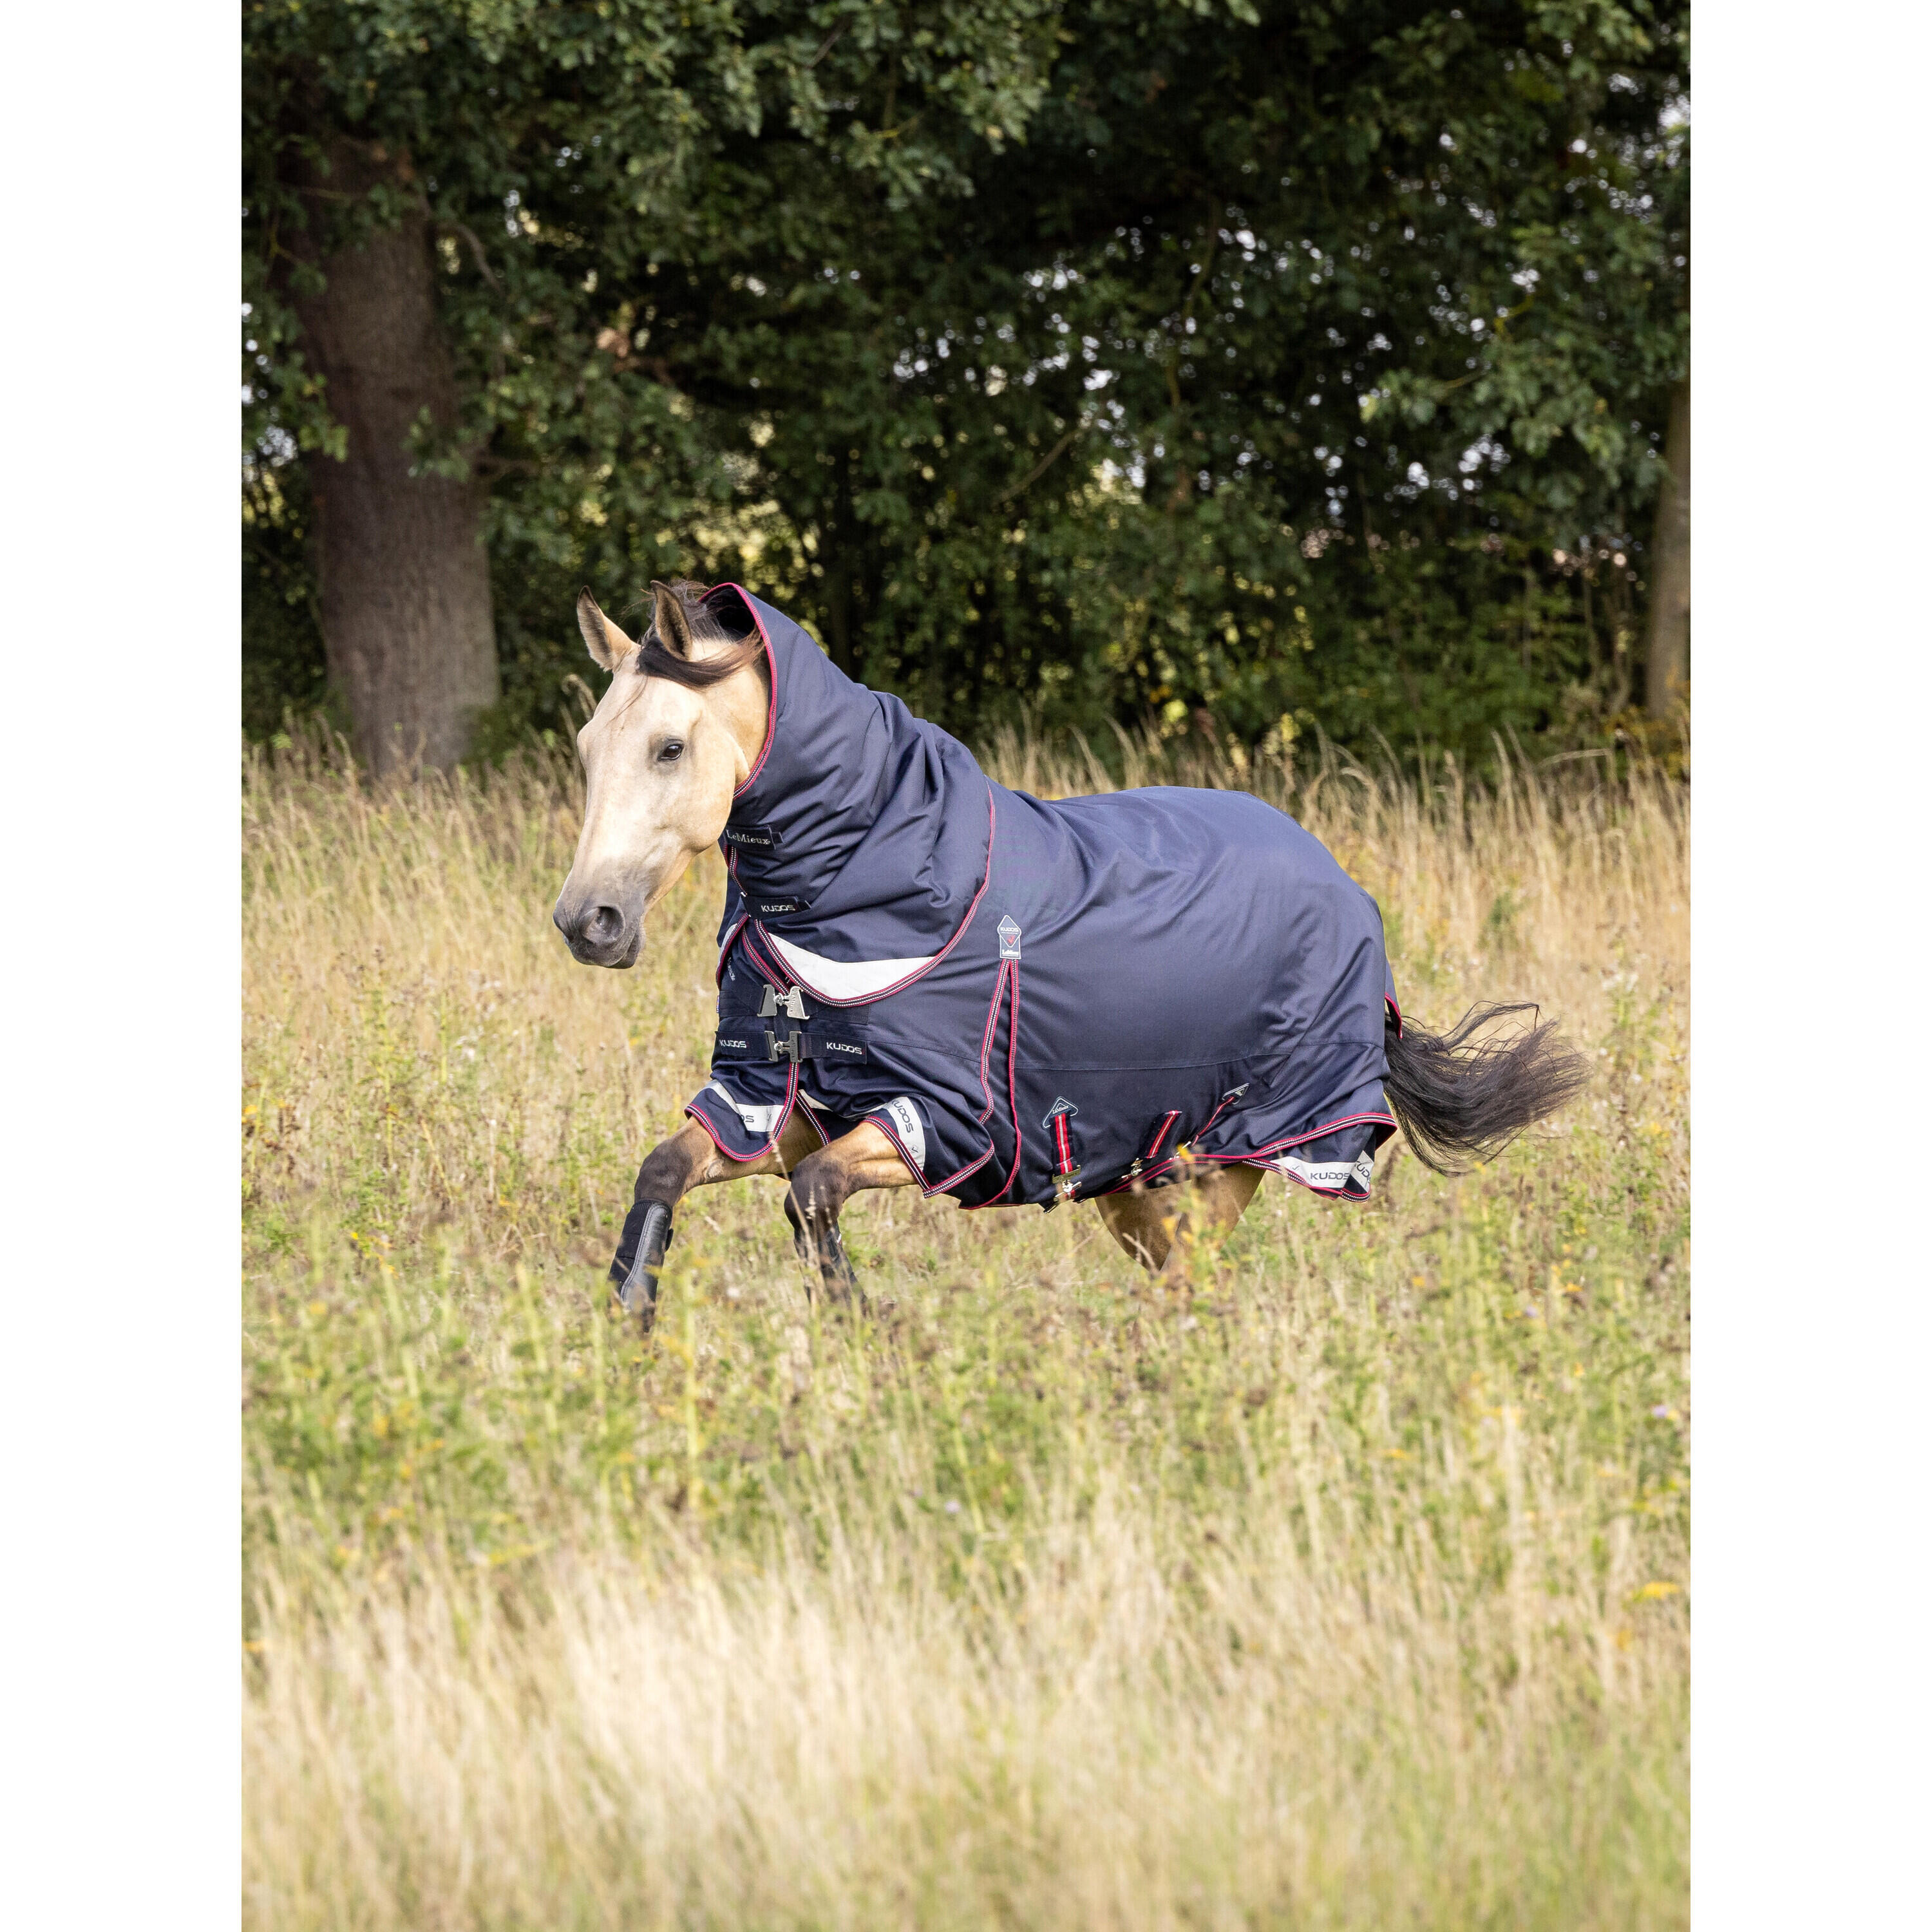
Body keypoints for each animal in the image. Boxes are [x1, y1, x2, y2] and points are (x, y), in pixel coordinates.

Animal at [555, 579, 1587, 1326]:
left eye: (670, 746)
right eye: (588, 746)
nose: (587, 922)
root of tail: (1346, 889)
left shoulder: (937, 1120)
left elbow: (812, 1198)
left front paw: (863, 1326)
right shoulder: (773, 1103)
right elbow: (668, 1169)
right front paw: (630, 1319)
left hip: (1226, 1170)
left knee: (1196, 1294)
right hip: (1142, 1183)